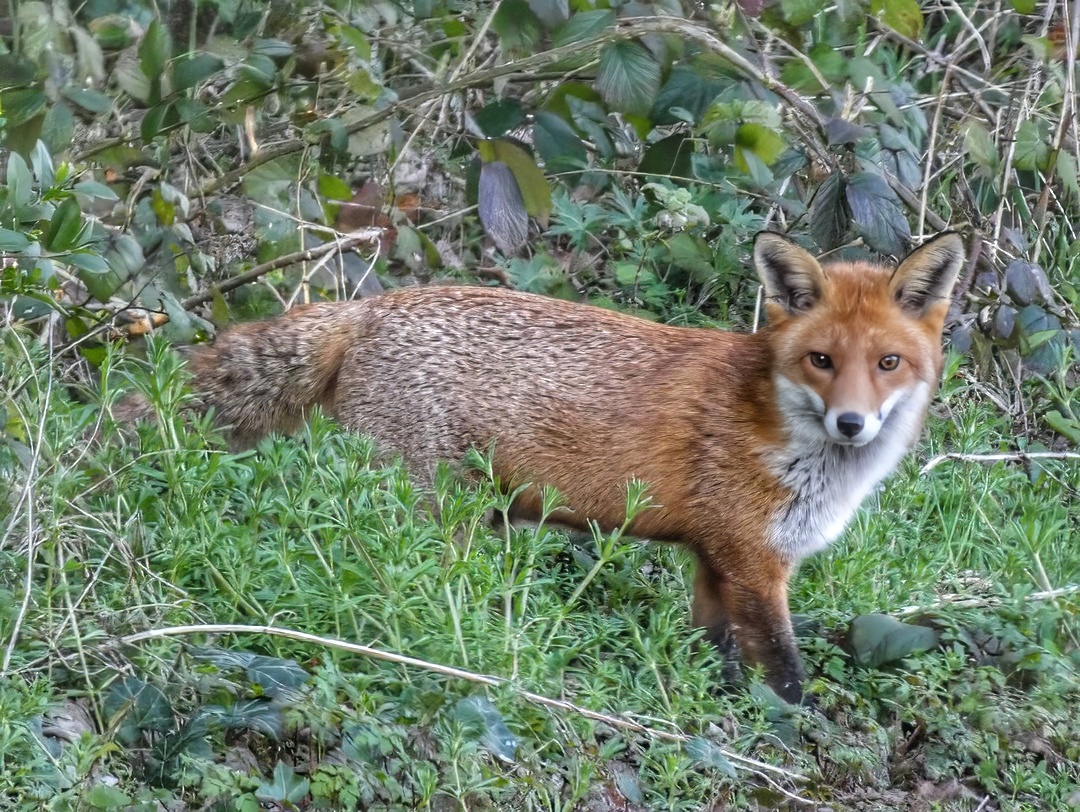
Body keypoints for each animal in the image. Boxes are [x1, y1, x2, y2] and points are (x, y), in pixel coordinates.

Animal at [122, 231, 964, 704]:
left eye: (887, 364)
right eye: (821, 361)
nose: (852, 422)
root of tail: (371, 307)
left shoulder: (713, 559)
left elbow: (715, 653)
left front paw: (716, 714)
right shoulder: (754, 560)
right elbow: (785, 674)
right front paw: (794, 737)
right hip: (439, 519)